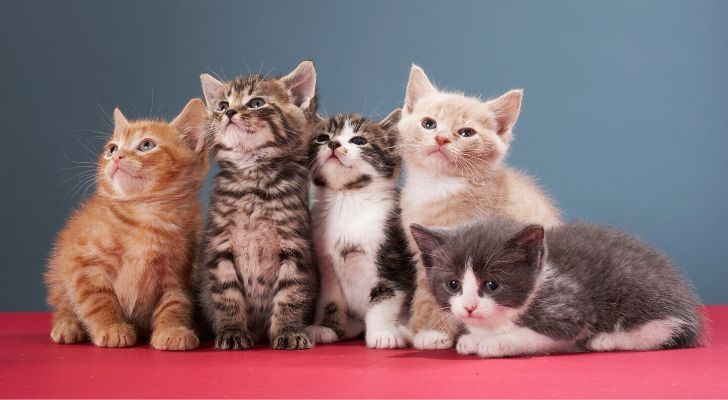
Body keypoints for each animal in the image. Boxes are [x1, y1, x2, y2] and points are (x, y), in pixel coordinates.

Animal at [45, 99, 209, 350]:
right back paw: (67, 326)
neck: (147, 217)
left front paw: (172, 330)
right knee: (63, 304)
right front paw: (112, 328)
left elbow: (174, 303)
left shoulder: (179, 273)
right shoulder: (83, 264)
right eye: (112, 148)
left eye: (147, 145)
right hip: (58, 270)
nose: (117, 156)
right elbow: (98, 300)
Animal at [196, 61, 318, 348]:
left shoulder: (295, 245)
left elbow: (291, 293)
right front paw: (232, 331)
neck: (253, 178)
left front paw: (288, 330)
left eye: (256, 103)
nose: (229, 112)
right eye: (222, 105)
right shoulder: (219, 245)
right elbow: (226, 295)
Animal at [304, 111, 416, 348]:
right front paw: (327, 327)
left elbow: (384, 299)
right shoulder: (327, 266)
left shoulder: (393, 260)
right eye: (323, 137)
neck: (347, 199)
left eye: (359, 140)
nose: (334, 144)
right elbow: (330, 300)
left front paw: (382, 334)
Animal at [398, 65, 564, 350]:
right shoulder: (426, 255)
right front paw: (416, 329)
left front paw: (435, 333)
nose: (441, 138)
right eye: (429, 123)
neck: (439, 186)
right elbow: (429, 292)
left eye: (466, 133)